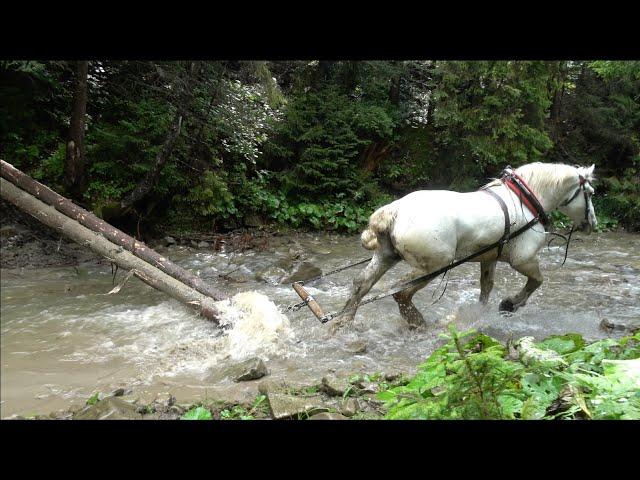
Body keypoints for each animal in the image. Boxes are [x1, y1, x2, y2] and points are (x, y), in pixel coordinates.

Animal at [332, 161, 596, 330]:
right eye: (590, 193)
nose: (592, 223)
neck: (526, 200)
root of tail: (394, 211)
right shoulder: (524, 259)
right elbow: (536, 282)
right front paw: (509, 304)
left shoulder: (489, 258)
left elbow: (486, 288)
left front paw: (478, 316)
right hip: (434, 265)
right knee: (401, 292)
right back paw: (418, 323)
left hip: (386, 256)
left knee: (361, 284)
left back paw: (342, 324)